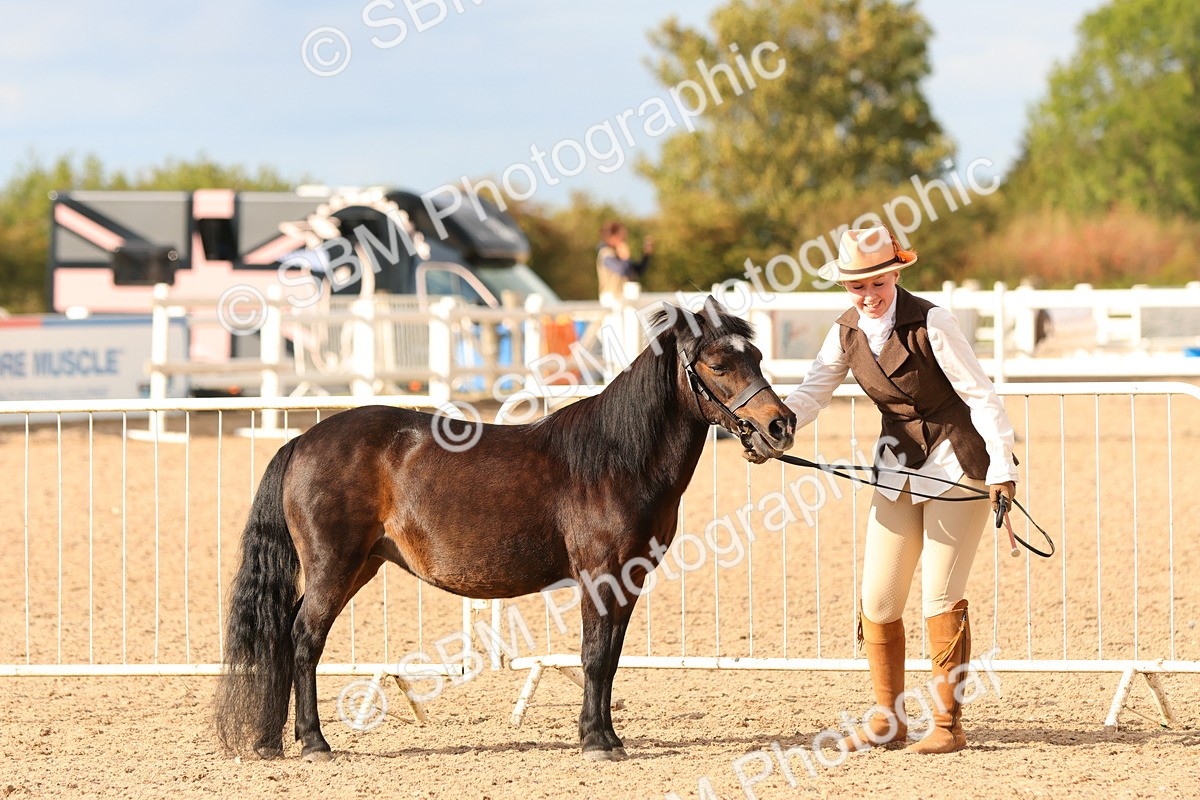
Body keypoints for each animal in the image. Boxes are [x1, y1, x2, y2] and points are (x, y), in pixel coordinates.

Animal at [214, 298, 796, 762]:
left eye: (757, 357)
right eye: (719, 363)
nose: (780, 425)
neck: (617, 457)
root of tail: (301, 441)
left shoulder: (628, 581)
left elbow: (609, 659)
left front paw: (608, 737)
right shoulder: (600, 577)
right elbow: (594, 656)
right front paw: (594, 742)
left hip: (361, 565)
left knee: (285, 633)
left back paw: (271, 740)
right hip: (334, 566)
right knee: (304, 637)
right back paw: (314, 742)